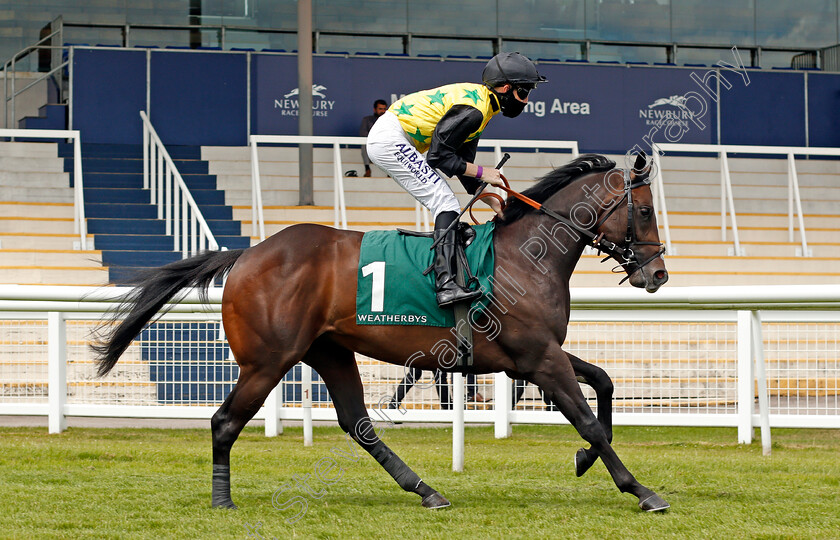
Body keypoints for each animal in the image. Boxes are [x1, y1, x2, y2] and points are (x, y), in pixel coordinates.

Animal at [92, 152, 668, 510]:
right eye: (643, 211)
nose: (658, 274)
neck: (527, 258)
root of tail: (248, 254)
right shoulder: (538, 358)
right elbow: (588, 420)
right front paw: (639, 489)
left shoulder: (537, 354)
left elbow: (604, 384)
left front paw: (585, 461)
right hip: (268, 360)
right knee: (224, 421)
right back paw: (222, 499)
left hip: (328, 352)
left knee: (358, 424)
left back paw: (427, 490)